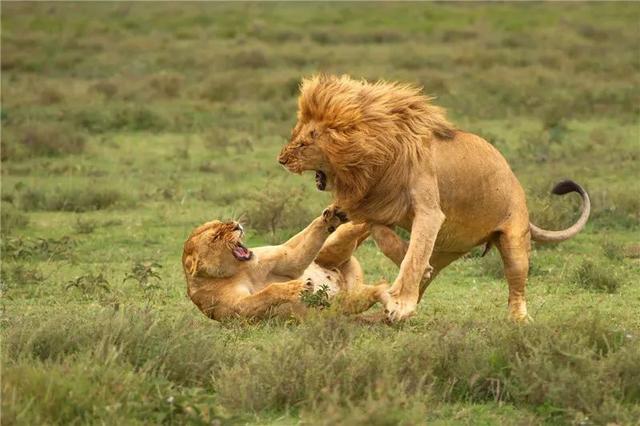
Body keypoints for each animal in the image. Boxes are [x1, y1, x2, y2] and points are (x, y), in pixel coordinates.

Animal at [182, 206, 388, 320]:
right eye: (216, 236)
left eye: (220, 222)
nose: (235, 224)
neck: (238, 270)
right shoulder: (238, 310)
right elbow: (265, 294)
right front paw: (299, 287)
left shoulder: (288, 260)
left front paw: (331, 217)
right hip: (347, 301)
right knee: (378, 290)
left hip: (333, 245)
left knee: (358, 226)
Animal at [278, 75, 588, 322]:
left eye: (304, 143)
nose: (281, 160)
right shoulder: (380, 205)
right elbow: (392, 242)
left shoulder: (428, 210)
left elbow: (412, 257)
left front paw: (401, 304)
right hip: (447, 248)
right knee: (428, 271)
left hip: (514, 239)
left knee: (516, 284)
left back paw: (519, 319)